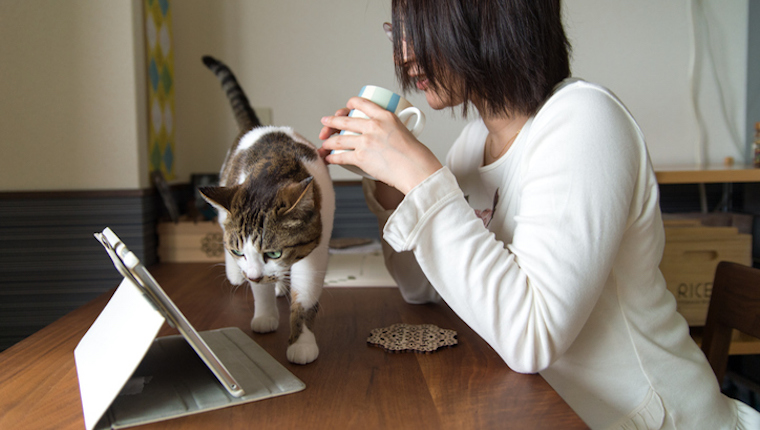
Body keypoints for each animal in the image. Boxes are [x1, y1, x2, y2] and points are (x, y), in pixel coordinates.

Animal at [199, 55, 336, 364]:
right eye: (239, 251)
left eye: (273, 253)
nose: (252, 274)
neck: (273, 171)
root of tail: (259, 127)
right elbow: (258, 289)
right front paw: (264, 316)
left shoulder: (316, 247)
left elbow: (305, 295)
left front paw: (302, 342)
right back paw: (237, 275)